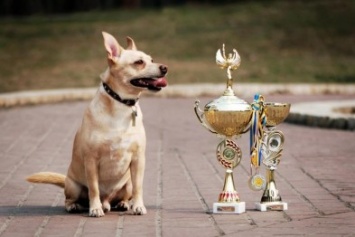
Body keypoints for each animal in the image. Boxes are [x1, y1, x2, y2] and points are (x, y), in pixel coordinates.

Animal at [26, 31, 168, 217]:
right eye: (139, 62)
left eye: (152, 59)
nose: (165, 68)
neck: (121, 104)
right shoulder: (91, 160)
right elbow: (93, 188)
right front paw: (95, 208)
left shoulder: (138, 159)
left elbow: (139, 187)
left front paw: (138, 206)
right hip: (73, 185)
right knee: (70, 199)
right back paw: (78, 206)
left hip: (126, 184)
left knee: (121, 195)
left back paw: (121, 204)